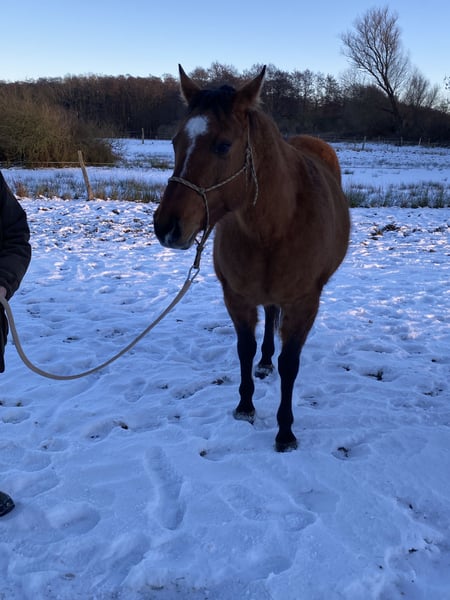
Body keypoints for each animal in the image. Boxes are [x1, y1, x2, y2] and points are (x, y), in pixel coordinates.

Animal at [154, 65, 350, 452]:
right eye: (175, 142)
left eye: (223, 145)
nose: (167, 226)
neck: (274, 226)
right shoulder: (237, 297)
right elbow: (244, 349)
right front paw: (245, 406)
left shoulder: (304, 304)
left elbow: (291, 364)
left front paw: (285, 431)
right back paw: (264, 362)